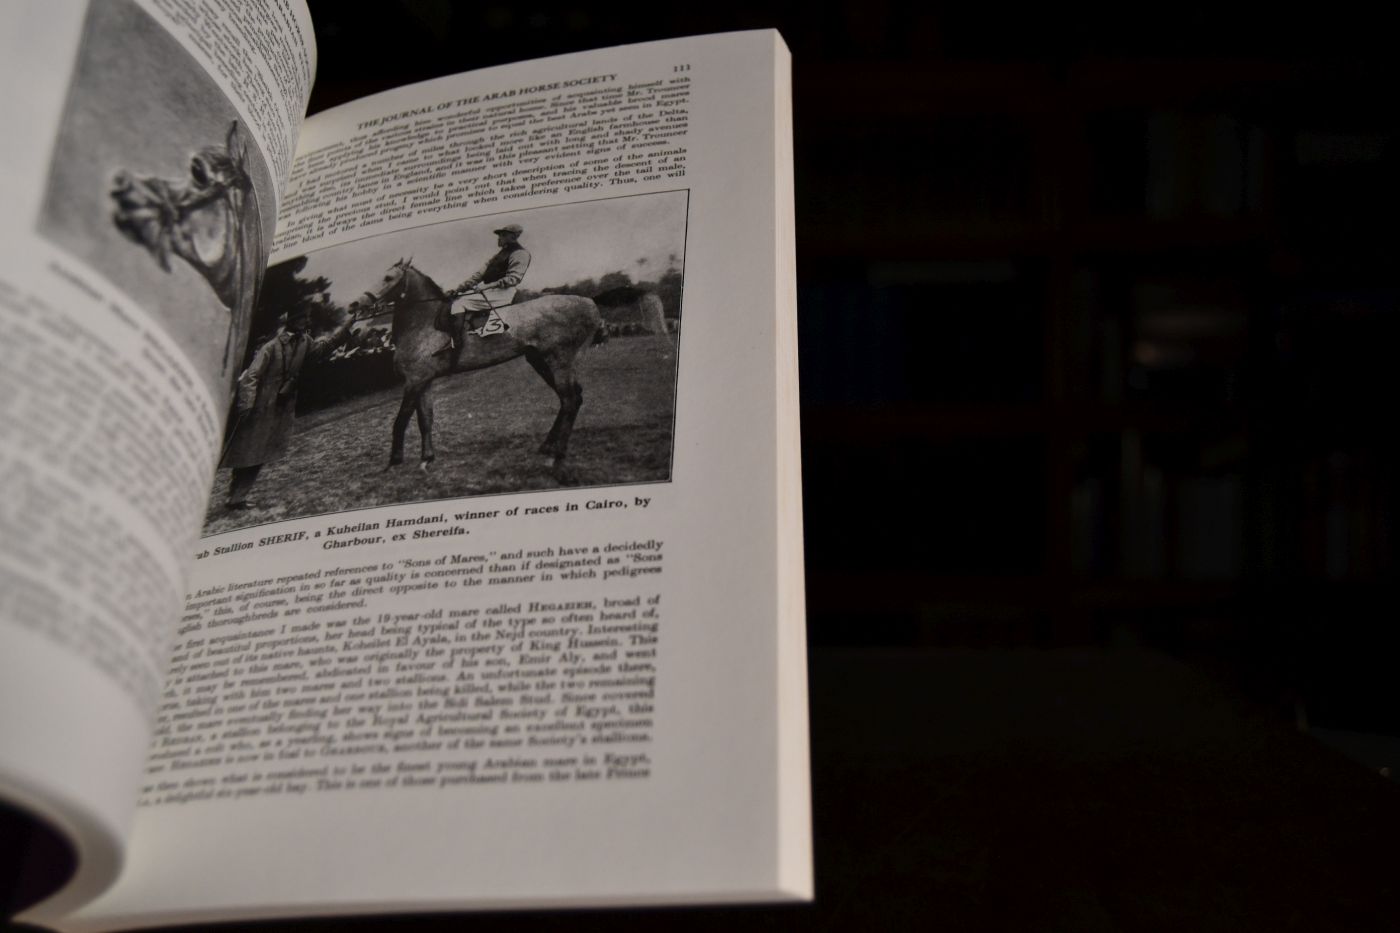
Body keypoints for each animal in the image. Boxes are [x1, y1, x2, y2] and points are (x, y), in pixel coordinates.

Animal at [361, 259, 603, 470]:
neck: (425, 324)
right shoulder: (424, 380)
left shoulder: (414, 381)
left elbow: (400, 420)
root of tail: (590, 303)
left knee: (570, 400)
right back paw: (547, 446)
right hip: (540, 360)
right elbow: (425, 419)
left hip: (560, 359)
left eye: (388, 278)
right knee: (570, 398)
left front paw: (394, 461)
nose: (359, 304)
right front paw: (426, 459)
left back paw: (556, 453)